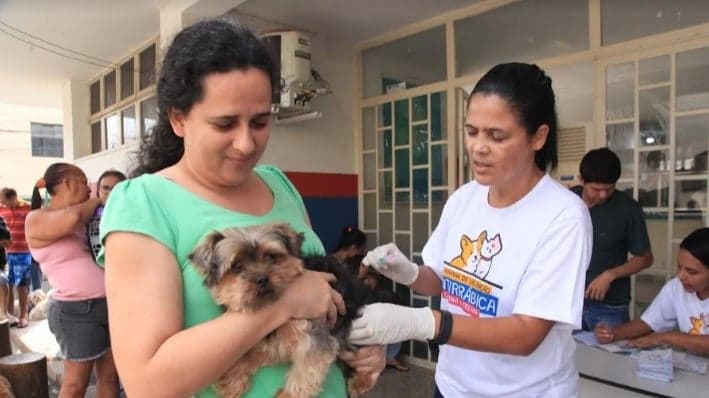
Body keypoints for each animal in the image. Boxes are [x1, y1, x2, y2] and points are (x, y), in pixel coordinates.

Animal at [188, 224, 376, 398]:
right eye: (237, 266)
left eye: (272, 257)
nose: (262, 279)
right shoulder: (270, 342)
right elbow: (253, 354)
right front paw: (231, 380)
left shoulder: (314, 336)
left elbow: (306, 373)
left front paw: (287, 395)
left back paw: (360, 382)